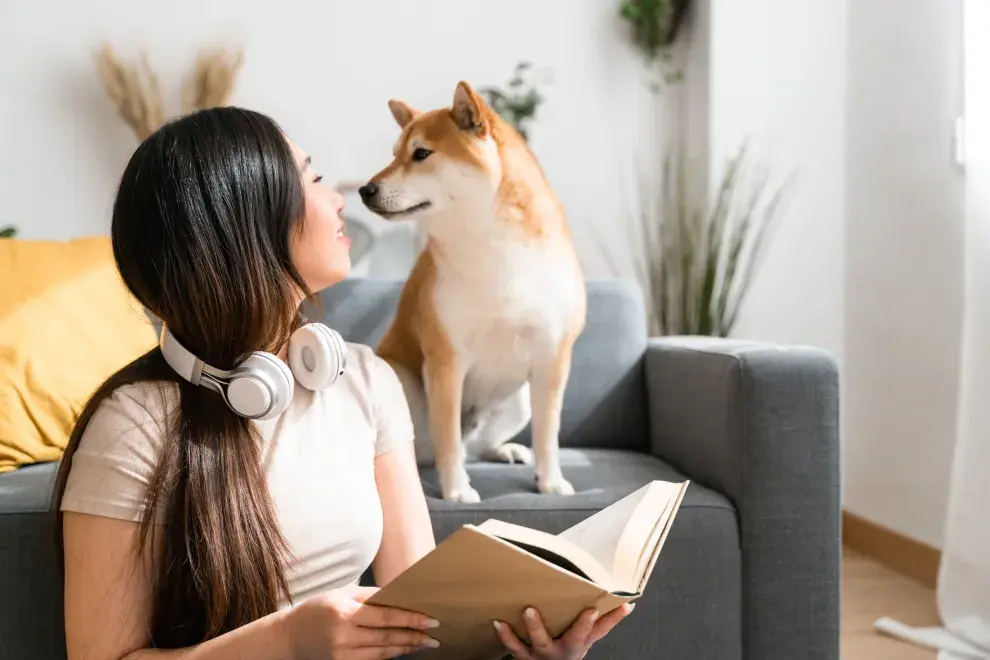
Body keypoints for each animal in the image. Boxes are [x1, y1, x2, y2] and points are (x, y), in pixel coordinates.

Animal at [358, 80, 584, 502]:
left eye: (421, 154)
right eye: (394, 155)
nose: (366, 189)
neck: (492, 247)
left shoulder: (552, 359)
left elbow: (549, 435)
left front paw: (550, 481)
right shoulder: (446, 360)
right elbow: (447, 440)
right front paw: (456, 490)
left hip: (518, 400)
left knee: (474, 446)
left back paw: (505, 450)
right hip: (399, 377)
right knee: (437, 447)